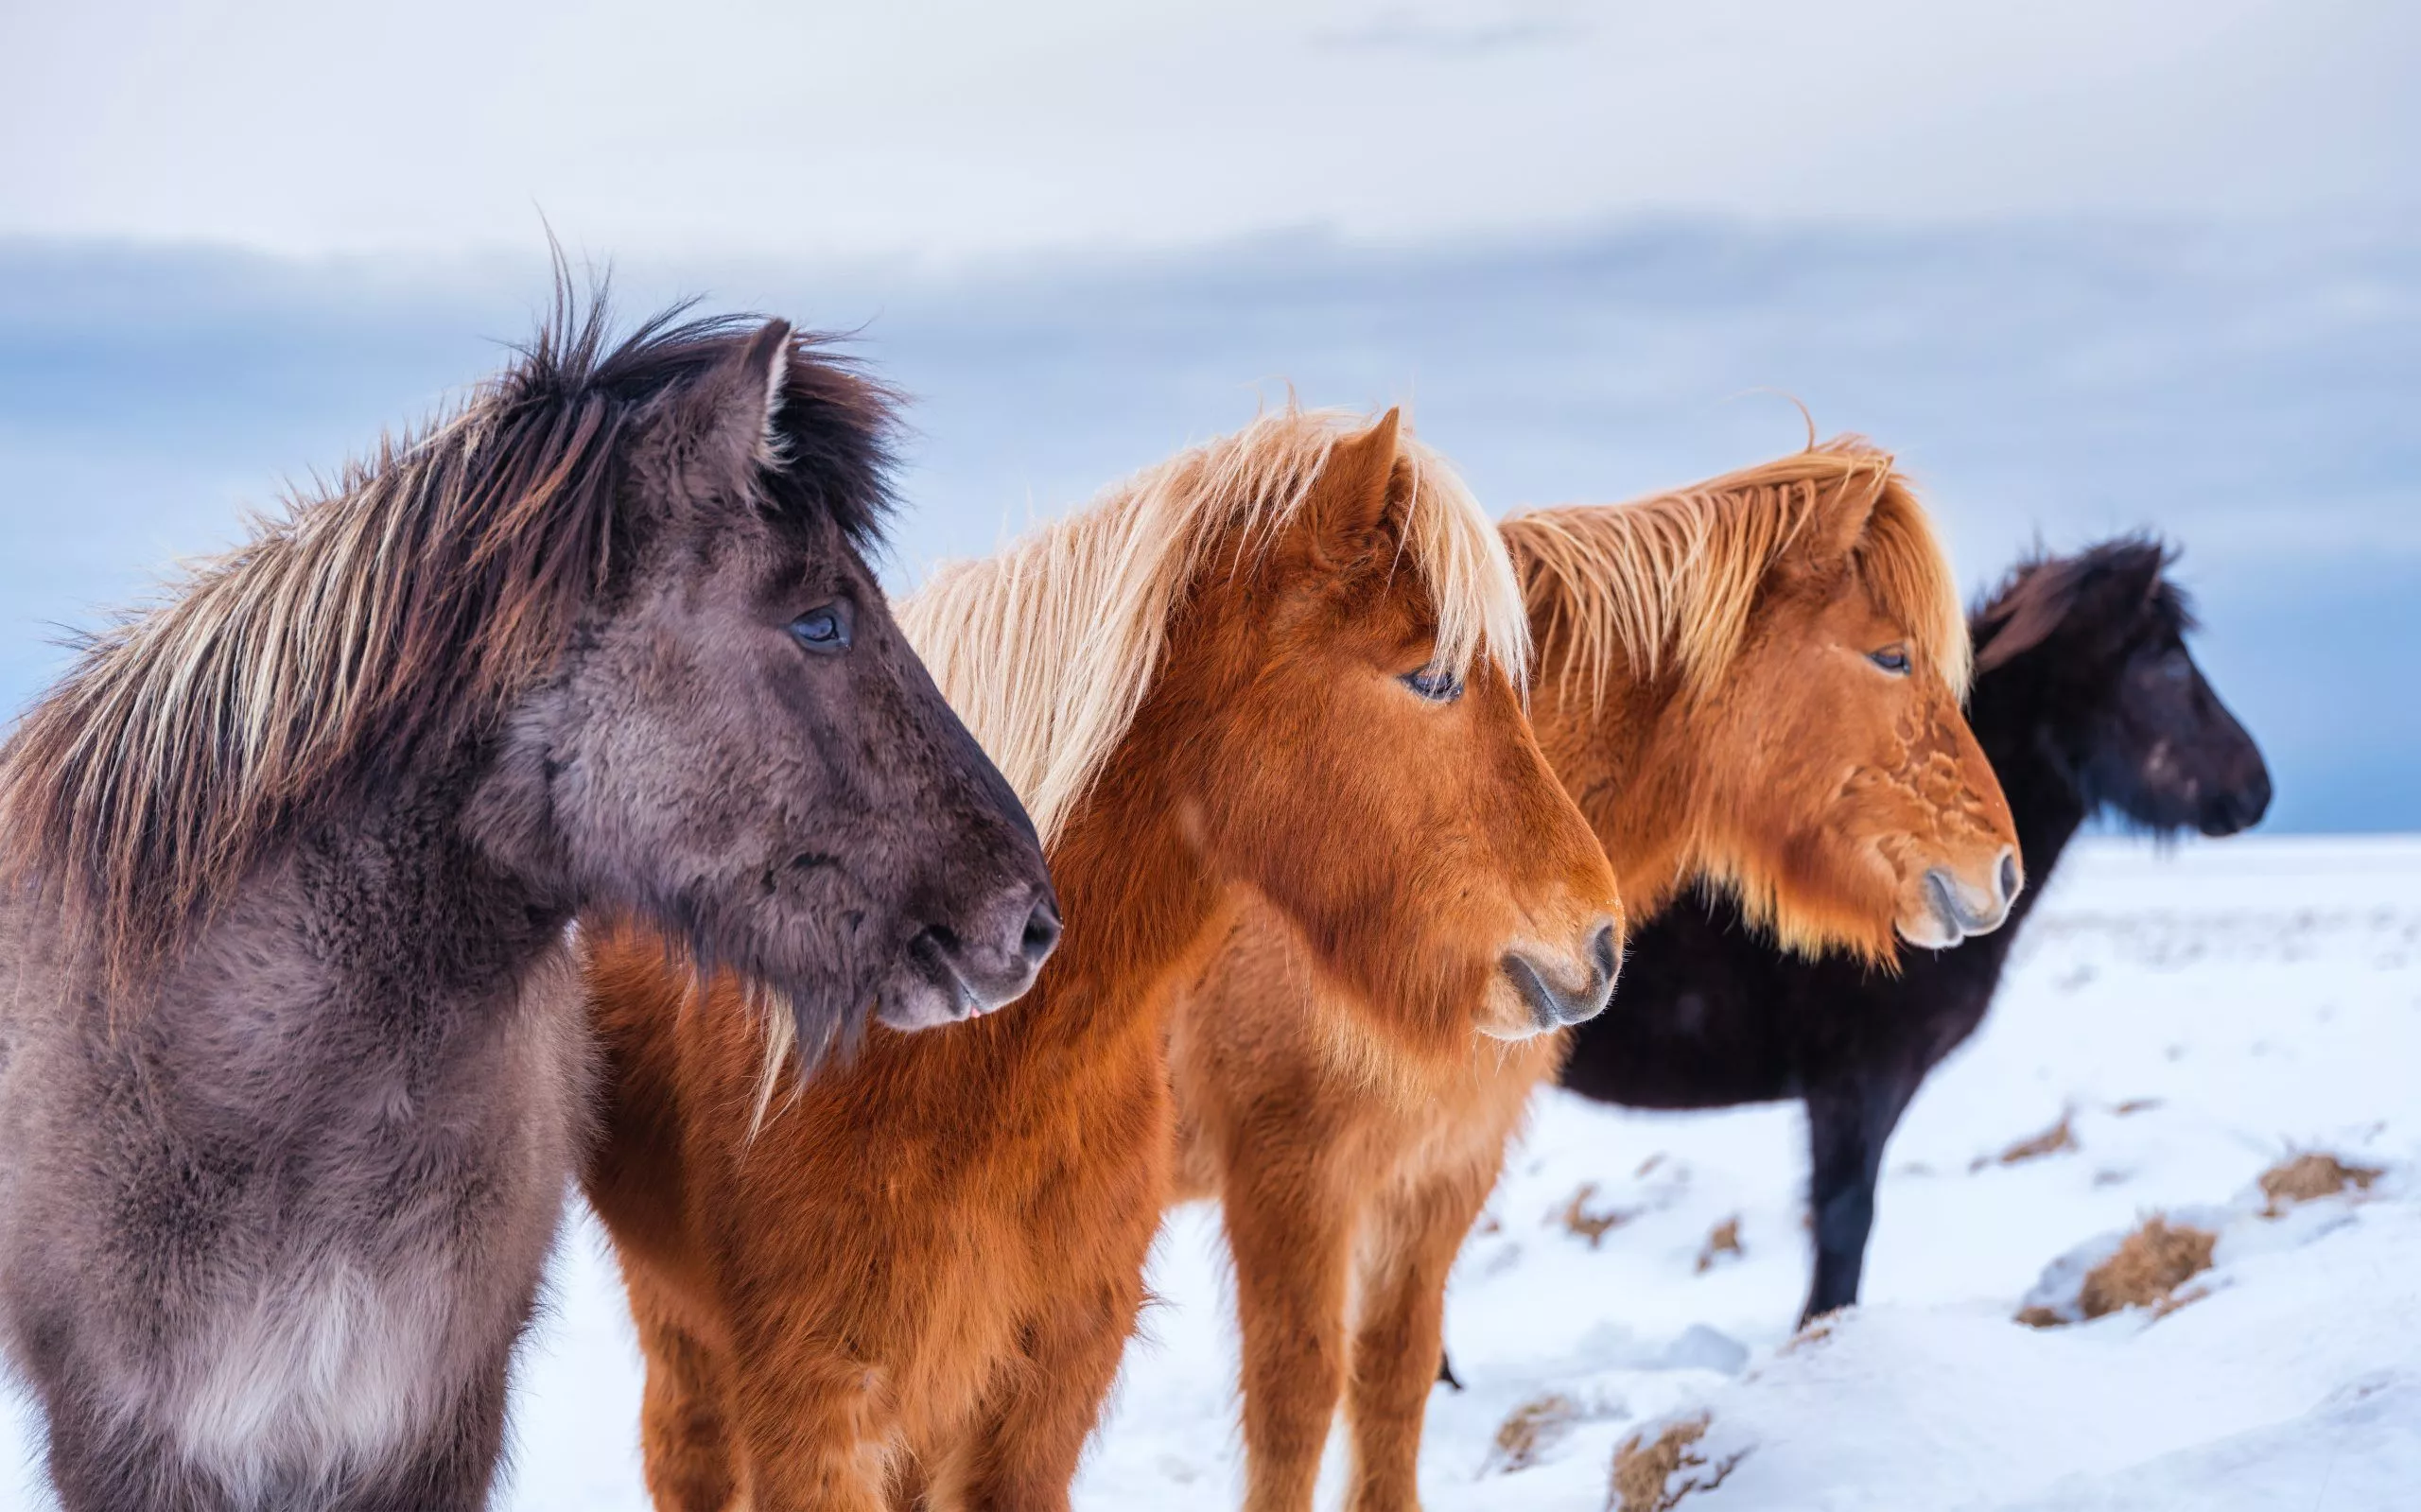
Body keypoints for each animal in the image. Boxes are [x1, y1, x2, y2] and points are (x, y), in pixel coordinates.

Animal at [1169, 438, 2022, 1512]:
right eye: (1892, 655)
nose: (2001, 867)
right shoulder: (1291, 1178)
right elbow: (1293, 1404)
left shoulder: (1439, 1173)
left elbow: (1393, 1380)